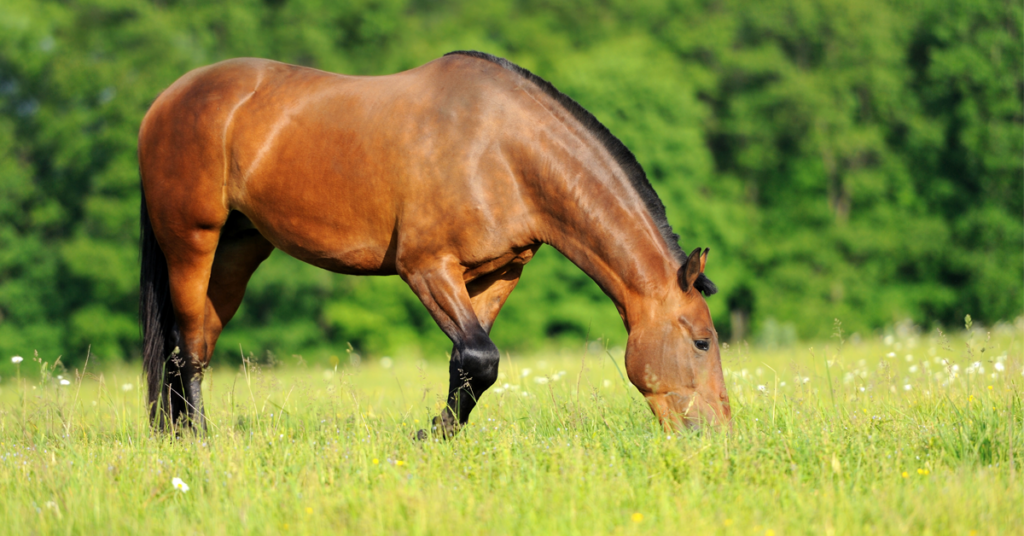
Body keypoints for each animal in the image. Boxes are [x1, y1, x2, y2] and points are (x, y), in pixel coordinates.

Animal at [139, 51, 730, 436]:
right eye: (702, 341)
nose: (719, 433)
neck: (503, 150)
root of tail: (165, 100)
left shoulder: (497, 274)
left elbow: (468, 363)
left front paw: (440, 434)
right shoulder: (426, 267)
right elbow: (480, 358)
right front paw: (432, 434)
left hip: (237, 252)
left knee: (197, 341)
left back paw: (176, 432)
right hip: (191, 242)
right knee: (186, 344)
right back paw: (195, 438)